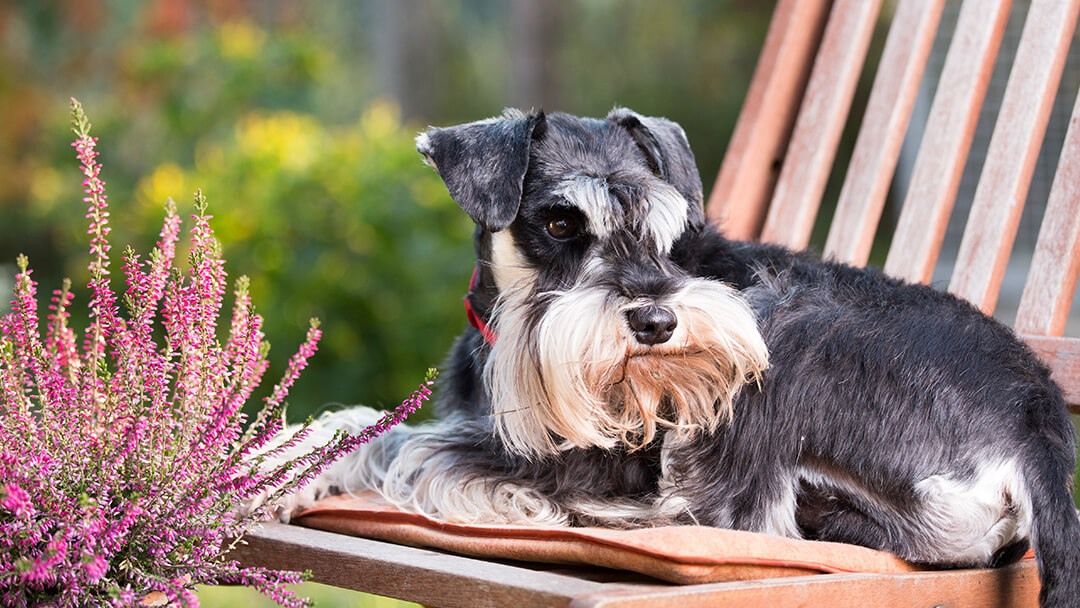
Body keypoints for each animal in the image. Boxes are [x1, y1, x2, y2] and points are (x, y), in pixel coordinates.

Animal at [261, 109, 1080, 608]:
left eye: (669, 227)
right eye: (559, 222)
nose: (656, 321)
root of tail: (1037, 419)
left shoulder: (589, 460)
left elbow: (407, 444)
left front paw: (285, 469)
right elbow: (382, 425)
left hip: (785, 338)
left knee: (742, 518)